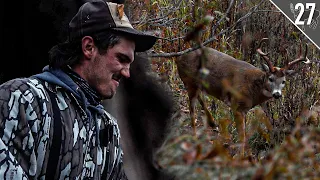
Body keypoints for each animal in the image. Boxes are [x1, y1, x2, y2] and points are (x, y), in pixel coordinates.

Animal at [176, 38, 308, 150]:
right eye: (270, 78)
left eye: (284, 81)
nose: (277, 94)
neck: (254, 90)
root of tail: (179, 57)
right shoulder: (237, 106)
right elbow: (242, 137)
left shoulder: (245, 109)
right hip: (189, 81)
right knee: (192, 109)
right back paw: (195, 137)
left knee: (199, 98)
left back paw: (213, 124)